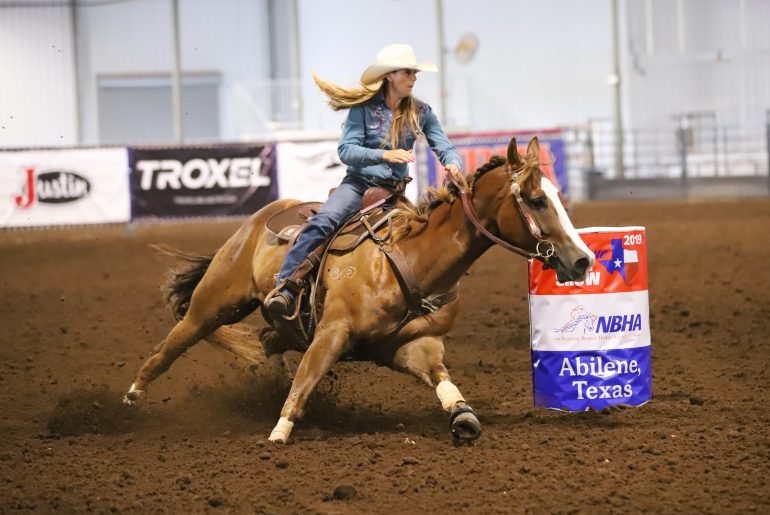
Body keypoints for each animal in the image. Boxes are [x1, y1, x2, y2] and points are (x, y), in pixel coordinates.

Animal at [123, 137, 592, 444]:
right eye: (536, 200)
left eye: (557, 194)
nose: (583, 260)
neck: (409, 258)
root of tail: (261, 216)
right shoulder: (332, 333)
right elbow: (308, 379)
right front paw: (279, 434)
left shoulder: (413, 345)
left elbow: (443, 381)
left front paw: (463, 417)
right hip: (214, 304)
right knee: (170, 347)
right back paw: (130, 399)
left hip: (282, 325)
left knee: (267, 340)